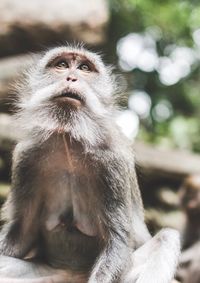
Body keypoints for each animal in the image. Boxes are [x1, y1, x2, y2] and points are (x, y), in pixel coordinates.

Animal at [0, 45, 180, 282]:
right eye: (62, 65)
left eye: (84, 68)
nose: (71, 77)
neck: (68, 141)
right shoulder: (26, 159)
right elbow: (22, 232)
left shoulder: (113, 164)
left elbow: (118, 241)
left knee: (166, 238)